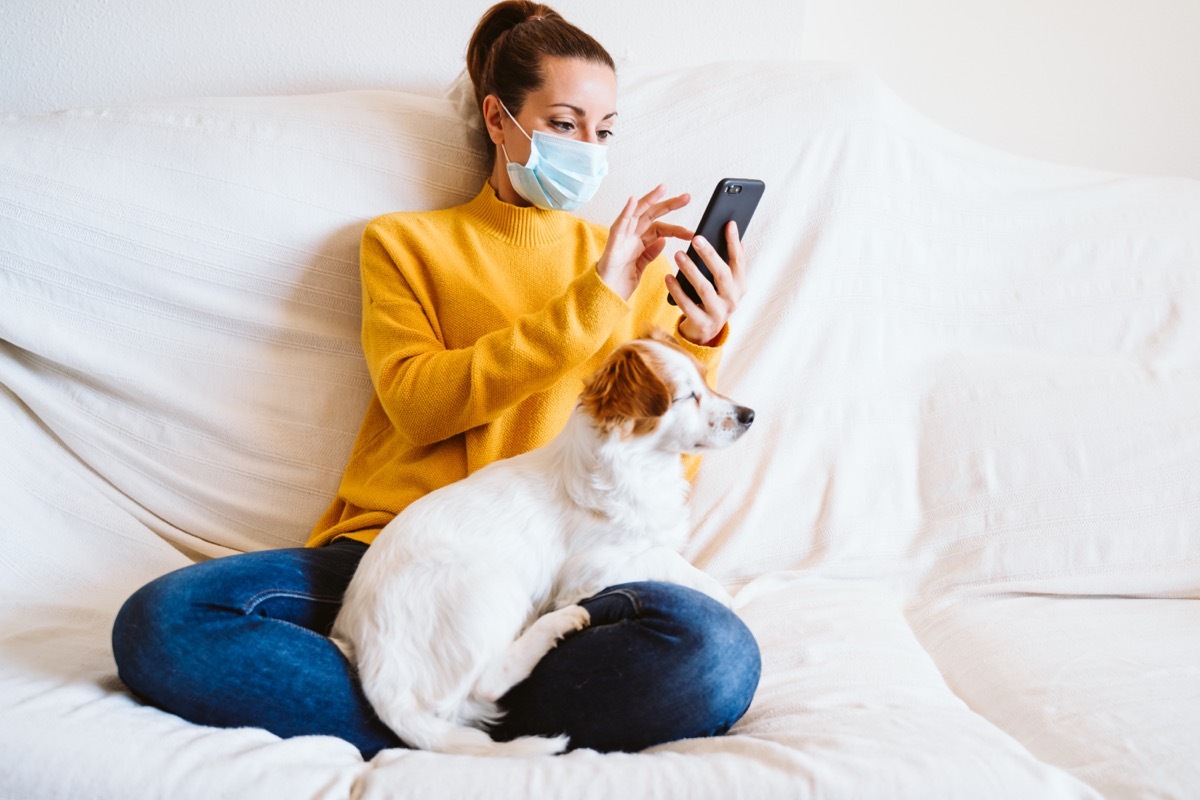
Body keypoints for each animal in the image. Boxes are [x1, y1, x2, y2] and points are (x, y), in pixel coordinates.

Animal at [328, 331, 753, 758]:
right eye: (687, 396)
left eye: (706, 382)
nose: (749, 414)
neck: (639, 469)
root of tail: (379, 676)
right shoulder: (589, 567)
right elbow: (663, 558)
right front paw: (722, 594)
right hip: (497, 582)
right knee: (485, 684)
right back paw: (556, 624)